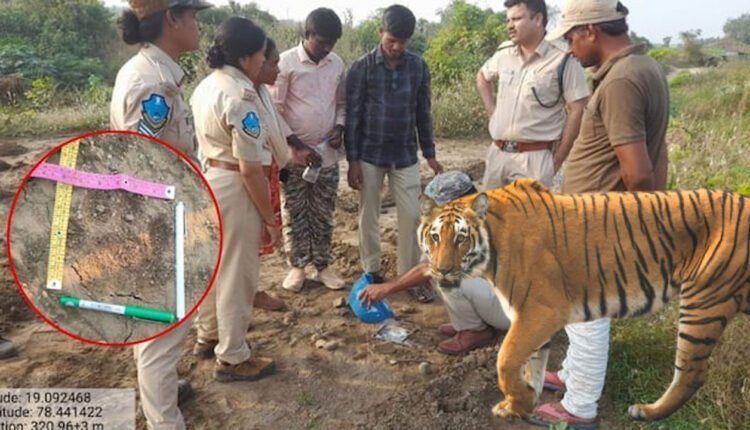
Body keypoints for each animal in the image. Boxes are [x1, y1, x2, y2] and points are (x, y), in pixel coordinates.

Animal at [418, 178, 750, 422]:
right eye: (435, 237)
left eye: (461, 238)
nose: (441, 270)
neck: (491, 247)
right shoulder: (530, 314)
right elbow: (532, 365)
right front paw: (523, 403)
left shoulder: (541, 310)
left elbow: (506, 359)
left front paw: (518, 403)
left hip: (704, 302)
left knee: (692, 372)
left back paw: (648, 412)